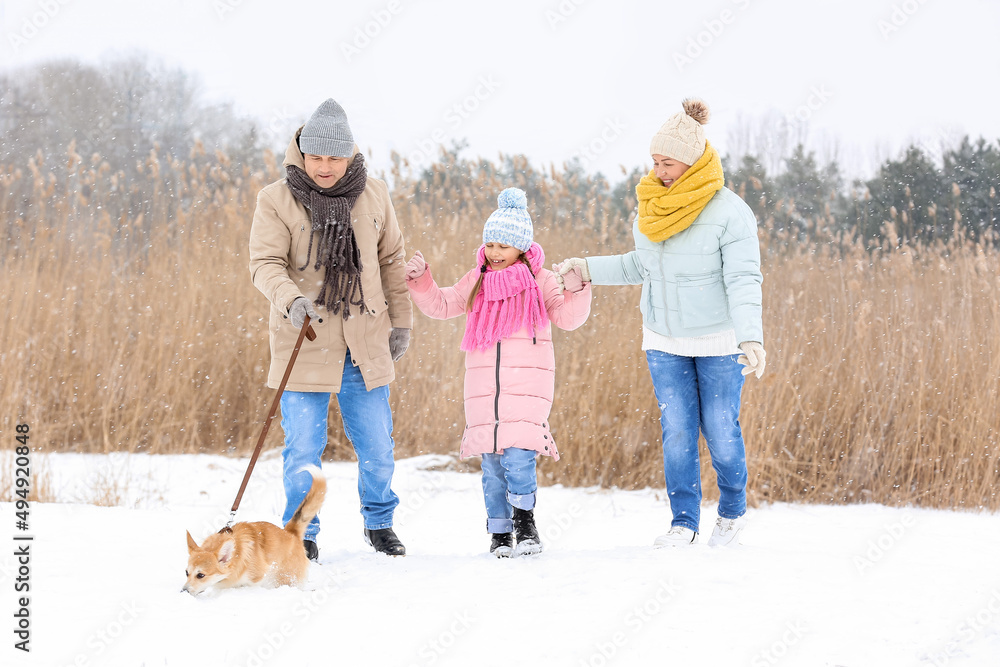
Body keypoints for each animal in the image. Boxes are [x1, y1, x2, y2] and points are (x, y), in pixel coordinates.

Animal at [182, 468, 326, 596]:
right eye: (186, 572)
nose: (183, 592)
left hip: (286, 578)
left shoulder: (256, 578)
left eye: (201, 575)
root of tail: (291, 532)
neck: (237, 556)